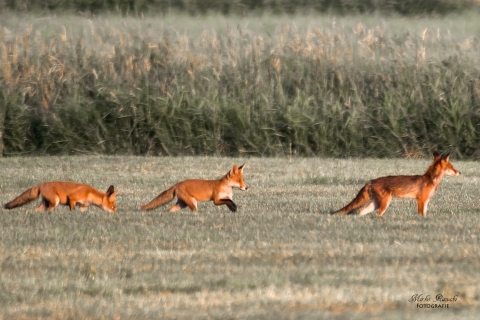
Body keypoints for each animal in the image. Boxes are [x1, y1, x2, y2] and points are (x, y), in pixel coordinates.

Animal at [334, 151, 462, 216]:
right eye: (452, 167)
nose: (460, 172)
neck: (430, 179)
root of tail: (371, 181)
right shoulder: (421, 200)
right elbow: (421, 214)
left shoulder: (426, 201)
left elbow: (424, 214)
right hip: (385, 203)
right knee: (377, 214)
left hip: (376, 203)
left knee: (361, 211)